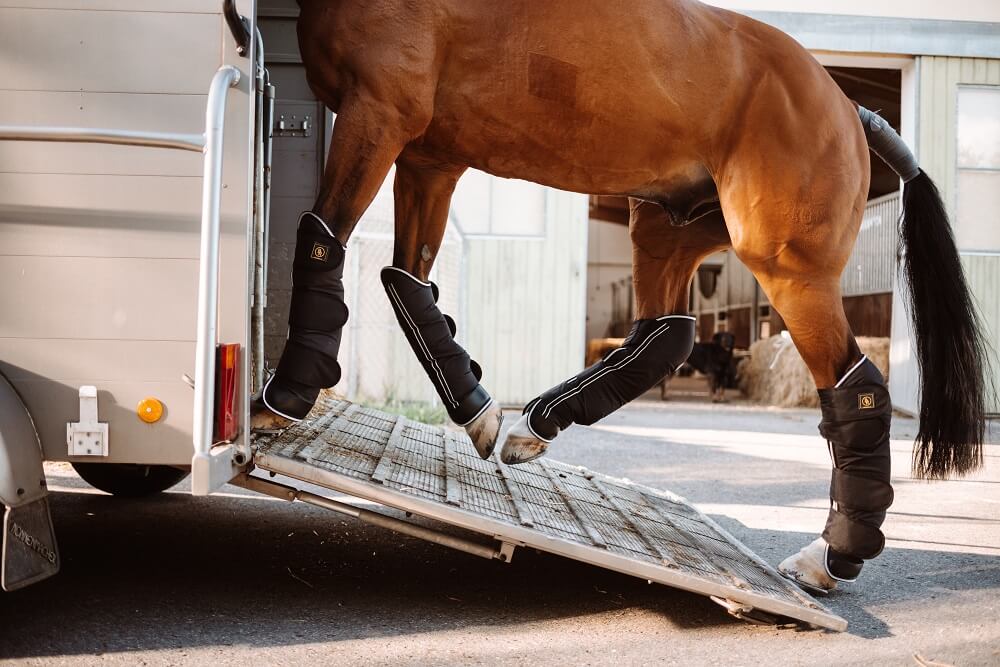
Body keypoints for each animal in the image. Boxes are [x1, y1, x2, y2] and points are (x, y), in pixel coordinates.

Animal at [254, 0, 988, 596]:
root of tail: (848, 106)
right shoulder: (429, 156)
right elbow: (405, 282)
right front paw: (479, 411)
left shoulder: (379, 112)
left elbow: (321, 237)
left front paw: (283, 396)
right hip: (668, 229)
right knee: (665, 335)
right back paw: (533, 426)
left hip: (788, 270)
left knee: (854, 387)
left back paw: (829, 559)